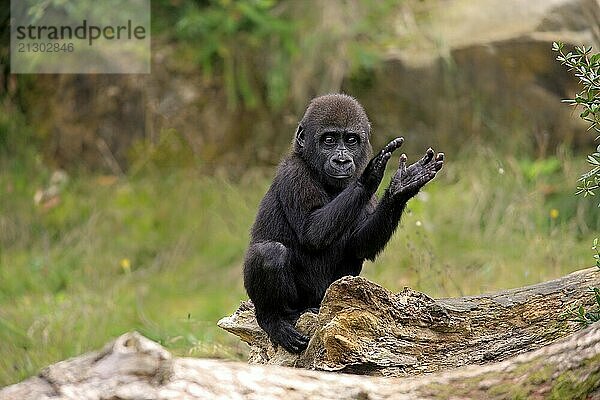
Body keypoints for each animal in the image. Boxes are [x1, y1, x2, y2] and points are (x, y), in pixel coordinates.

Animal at [244, 94, 446, 354]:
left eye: (351, 140)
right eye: (329, 140)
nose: (341, 159)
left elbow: (359, 245)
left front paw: (400, 188)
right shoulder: (294, 174)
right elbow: (312, 232)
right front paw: (370, 175)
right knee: (269, 252)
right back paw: (274, 319)